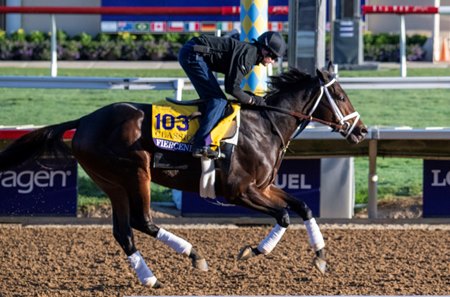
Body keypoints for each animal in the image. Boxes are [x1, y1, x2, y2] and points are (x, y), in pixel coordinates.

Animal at [0, 62, 366, 286]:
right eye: (340, 95)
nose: (361, 131)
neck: (266, 124)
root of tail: (85, 120)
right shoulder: (240, 191)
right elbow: (284, 215)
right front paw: (254, 251)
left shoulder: (264, 186)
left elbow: (302, 207)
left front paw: (320, 256)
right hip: (135, 173)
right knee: (142, 221)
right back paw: (193, 255)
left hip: (112, 182)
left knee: (124, 231)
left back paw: (149, 277)